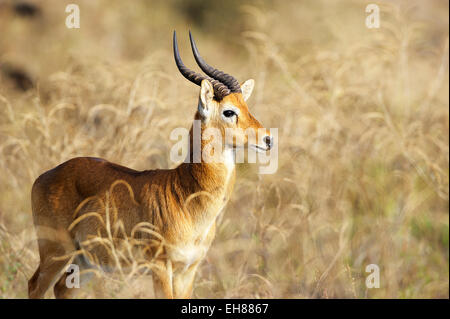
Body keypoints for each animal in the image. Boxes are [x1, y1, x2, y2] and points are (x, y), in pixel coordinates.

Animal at [29, 31, 274, 300]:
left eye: (246, 107)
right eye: (229, 112)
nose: (267, 139)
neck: (185, 194)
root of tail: (46, 175)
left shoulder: (188, 270)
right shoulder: (160, 266)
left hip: (86, 260)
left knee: (62, 288)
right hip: (56, 250)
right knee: (35, 285)